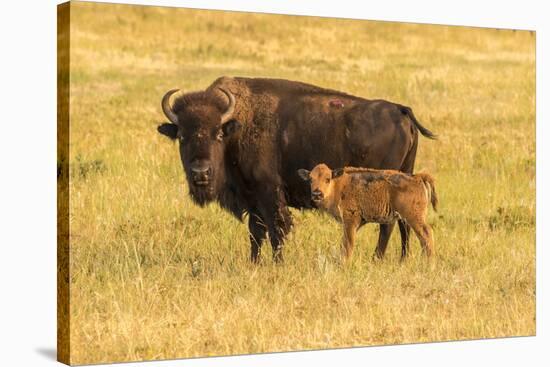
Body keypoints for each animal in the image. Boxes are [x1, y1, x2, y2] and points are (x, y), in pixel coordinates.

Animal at [300, 164, 438, 262]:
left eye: (327, 179)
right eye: (310, 179)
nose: (317, 194)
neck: (338, 185)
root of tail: (417, 177)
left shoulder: (350, 220)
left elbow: (348, 243)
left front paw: (345, 263)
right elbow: (344, 243)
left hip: (413, 217)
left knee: (426, 234)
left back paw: (429, 264)